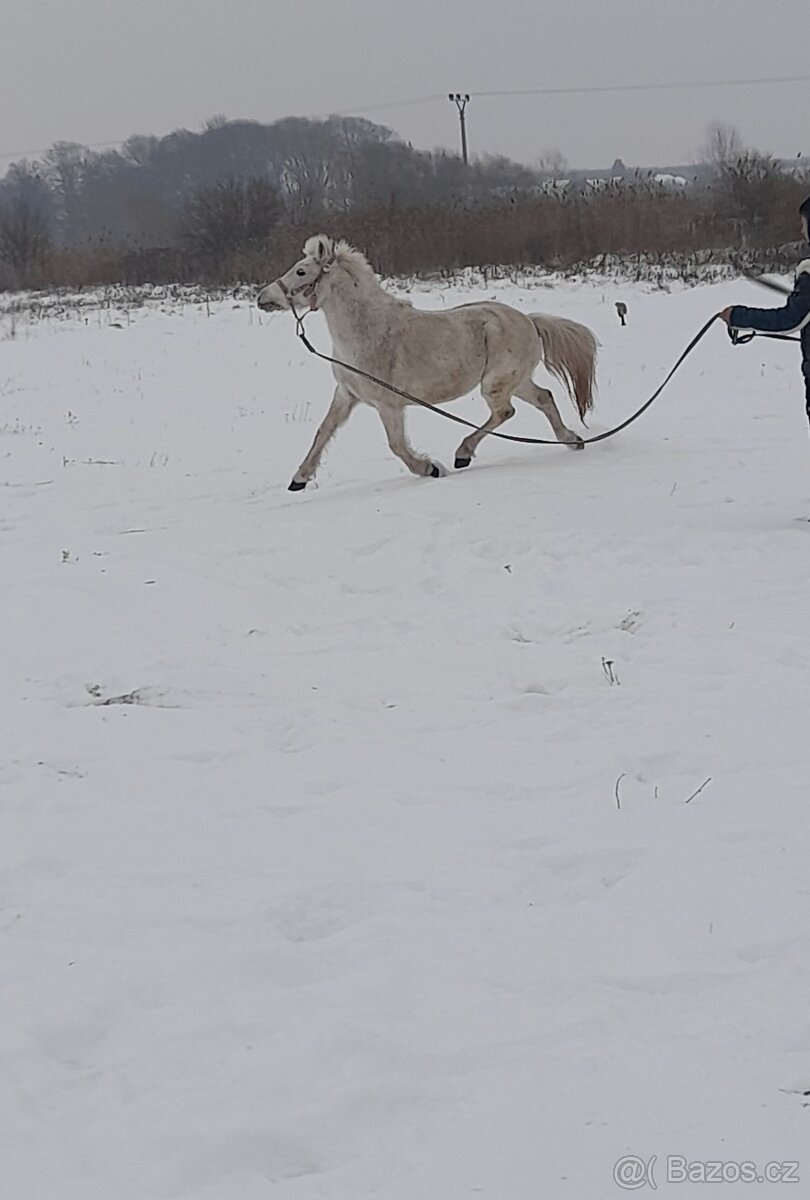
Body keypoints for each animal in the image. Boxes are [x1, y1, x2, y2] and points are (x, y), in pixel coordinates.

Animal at [257, 236, 598, 491]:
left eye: (301, 272)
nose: (263, 298)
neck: (369, 332)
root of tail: (528, 320)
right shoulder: (346, 395)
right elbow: (323, 431)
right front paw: (299, 479)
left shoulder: (389, 405)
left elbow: (396, 445)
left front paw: (430, 468)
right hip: (517, 381)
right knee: (544, 398)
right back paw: (572, 440)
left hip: (496, 384)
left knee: (505, 412)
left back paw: (463, 455)